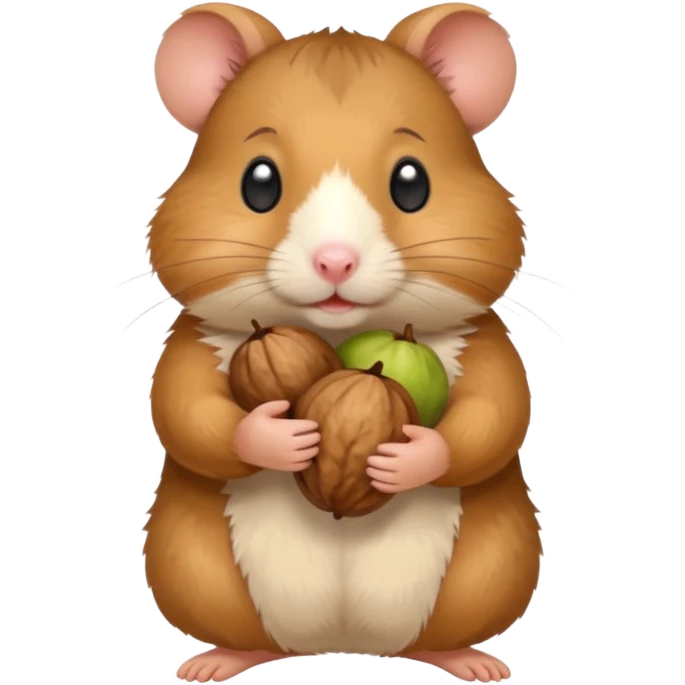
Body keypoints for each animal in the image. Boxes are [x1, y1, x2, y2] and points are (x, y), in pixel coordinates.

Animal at [143, 3, 542, 683]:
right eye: (258, 183)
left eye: (412, 183)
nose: (336, 261)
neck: (340, 336)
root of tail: (342, 642)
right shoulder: (192, 341)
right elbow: (187, 414)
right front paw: (279, 438)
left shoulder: (484, 341)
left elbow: (495, 417)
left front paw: (407, 459)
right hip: (195, 572)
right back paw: (218, 660)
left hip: (489, 574)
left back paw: (470, 660)